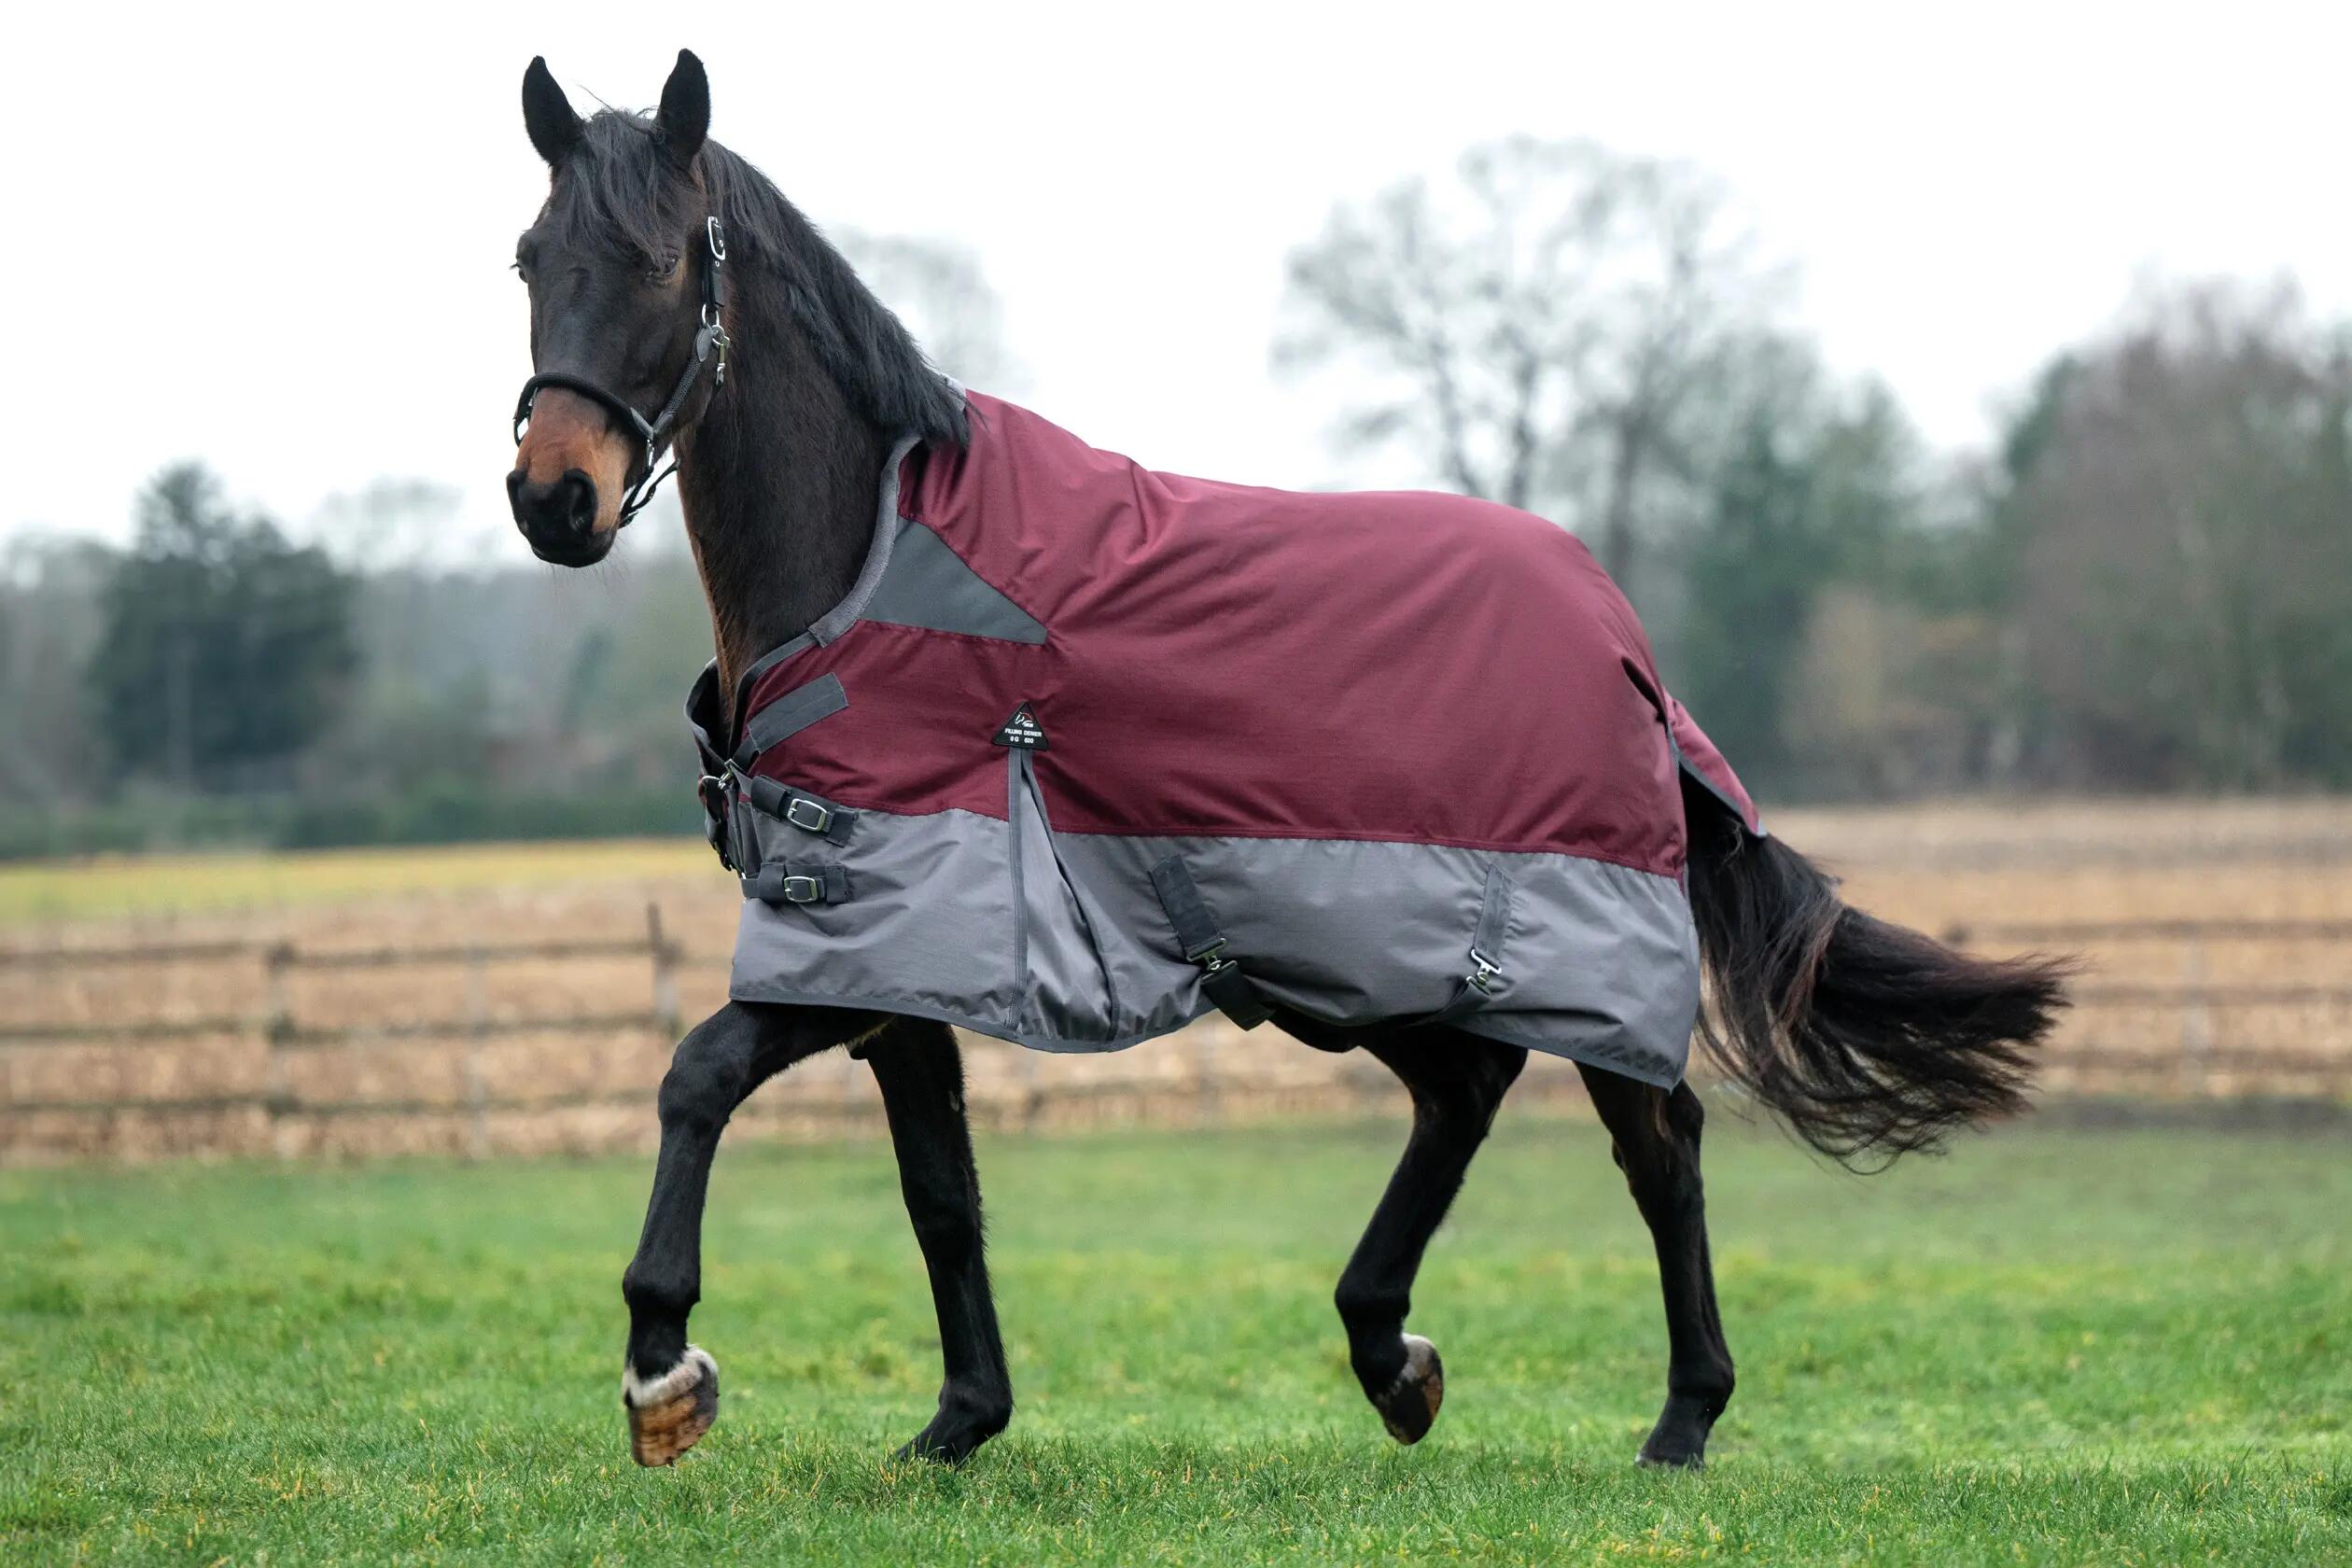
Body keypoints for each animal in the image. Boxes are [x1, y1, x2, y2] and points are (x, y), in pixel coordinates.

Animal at [504, 49, 2069, 1471]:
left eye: (659, 261)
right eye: (528, 257)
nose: (552, 498)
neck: (870, 566)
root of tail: (1624, 638)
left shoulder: (856, 944)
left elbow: (695, 1075)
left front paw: (664, 1371)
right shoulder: (892, 958)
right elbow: (938, 1193)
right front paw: (957, 1425)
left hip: (1532, 946)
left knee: (1656, 1140)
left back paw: (1677, 1420)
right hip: (1374, 957)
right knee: (1469, 1098)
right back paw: (1395, 1356)